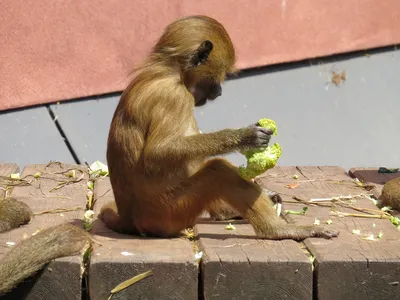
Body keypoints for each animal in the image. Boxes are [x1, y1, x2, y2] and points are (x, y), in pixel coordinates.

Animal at [98, 15, 340, 241]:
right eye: (217, 78)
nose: (219, 92)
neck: (167, 71)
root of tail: (131, 220)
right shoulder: (175, 97)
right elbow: (156, 154)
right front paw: (245, 137)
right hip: (168, 214)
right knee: (218, 172)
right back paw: (277, 230)